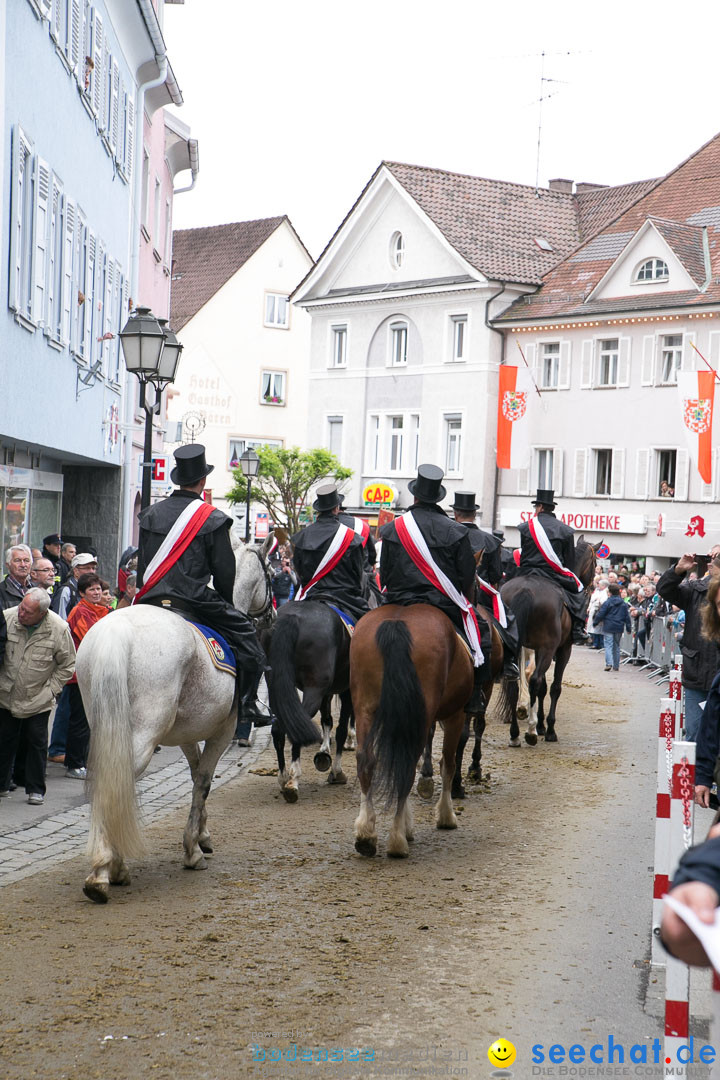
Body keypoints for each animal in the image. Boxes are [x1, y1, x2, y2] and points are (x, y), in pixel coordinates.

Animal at [78, 533, 297, 902]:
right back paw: (106, 869)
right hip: (143, 734)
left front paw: (203, 837)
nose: (274, 614)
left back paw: (106, 866)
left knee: (107, 781)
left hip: (108, 726)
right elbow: (204, 781)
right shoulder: (222, 730)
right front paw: (193, 849)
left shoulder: (187, 734)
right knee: (117, 784)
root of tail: (117, 632)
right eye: (271, 571)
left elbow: (195, 776)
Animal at [349, 604, 472, 855]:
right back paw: (397, 840)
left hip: (364, 707)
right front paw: (446, 816)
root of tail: (397, 622)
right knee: (407, 767)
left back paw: (366, 834)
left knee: (366, 760)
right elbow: (448, 764)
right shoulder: (456, 715)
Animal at [498, 537, 600, 743]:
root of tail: (525, 590)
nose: (592, 587)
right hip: (548, 648)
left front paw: (541, 725)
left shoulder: (537, 649)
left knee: (514, 683)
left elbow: (543, 688)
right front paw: (549, 729)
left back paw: (515, 733)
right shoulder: (562, 650)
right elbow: (554, 687)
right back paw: (530, 732)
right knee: (534, 680)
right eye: (595, 563)